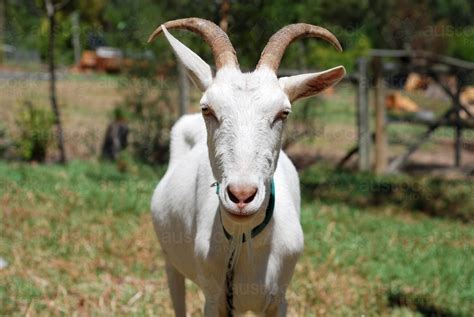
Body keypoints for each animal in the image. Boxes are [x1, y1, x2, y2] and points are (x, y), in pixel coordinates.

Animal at [150, 17, 346, 316]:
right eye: (207, 108)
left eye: (283, 113)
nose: (241, 196)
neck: (244, 240)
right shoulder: (213, 299)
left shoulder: (278, 299)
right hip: (170, 261)